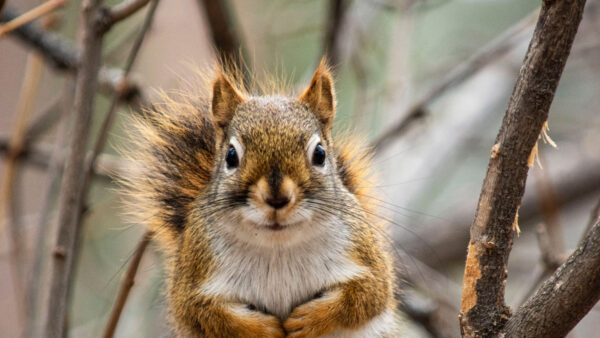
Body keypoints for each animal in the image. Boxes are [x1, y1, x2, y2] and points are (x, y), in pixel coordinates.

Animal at [121, 59, 398, 336]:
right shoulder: (196, 270)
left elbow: (368, 294)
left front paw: (311, 318)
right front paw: (262, 329)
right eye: (231, 156)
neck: (277, 245)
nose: (277, 199)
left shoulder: (361, 249)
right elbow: (202, 312)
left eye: (320, 154)